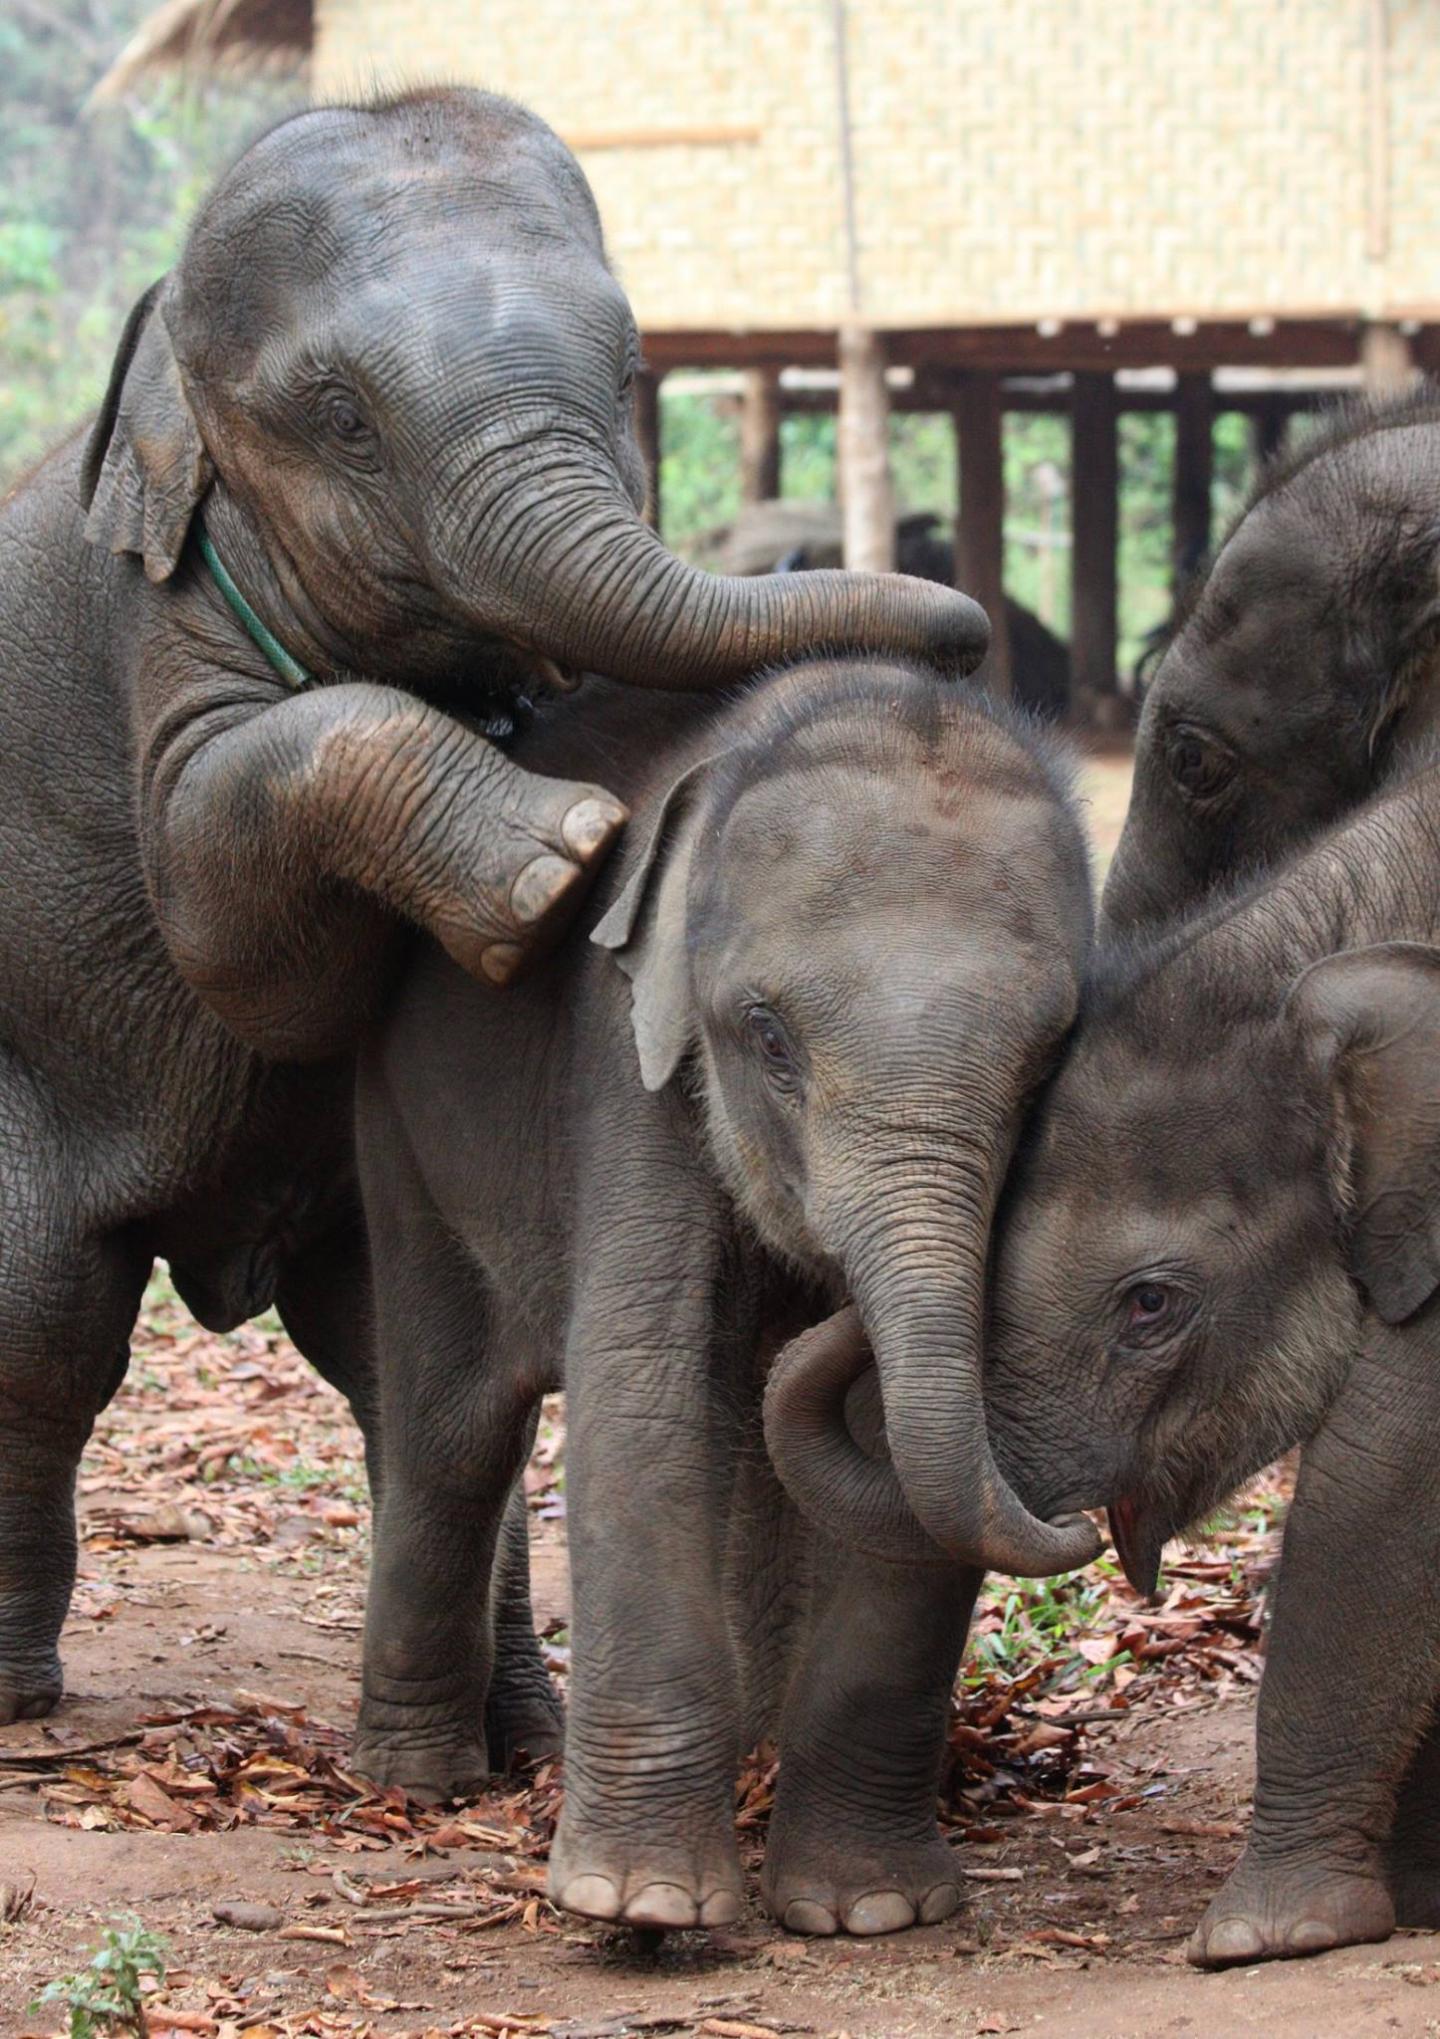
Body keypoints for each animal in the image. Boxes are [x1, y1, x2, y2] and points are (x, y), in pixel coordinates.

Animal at [0, 83, 987, 1737]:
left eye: (633, 367)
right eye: (340, 413)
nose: (967, 633)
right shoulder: (155, 631)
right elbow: (226, 912)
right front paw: (561, 862)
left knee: (393, 1359)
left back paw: (519, 1722)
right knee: (49, 1318)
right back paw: (22, 1700)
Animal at [352, 656, 1093, 1941]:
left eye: (1048, 1058)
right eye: (767, 1038)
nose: (1091, 1526)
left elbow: (896, 1467)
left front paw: (866, 1909)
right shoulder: (627, 1063)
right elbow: (644, 1394)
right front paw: (642, 1906)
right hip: (397, 1132)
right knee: (457, 1429)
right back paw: (420, 1778)